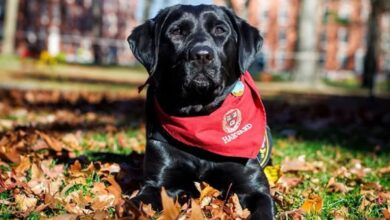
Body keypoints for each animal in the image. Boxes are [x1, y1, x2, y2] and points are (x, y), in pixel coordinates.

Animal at [128, 4, 274, 219]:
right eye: (177, 31)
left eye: (220, 30)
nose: (202, 55)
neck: (200, 116)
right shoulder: (159, 183)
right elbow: (136, 202)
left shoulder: (254, 187)